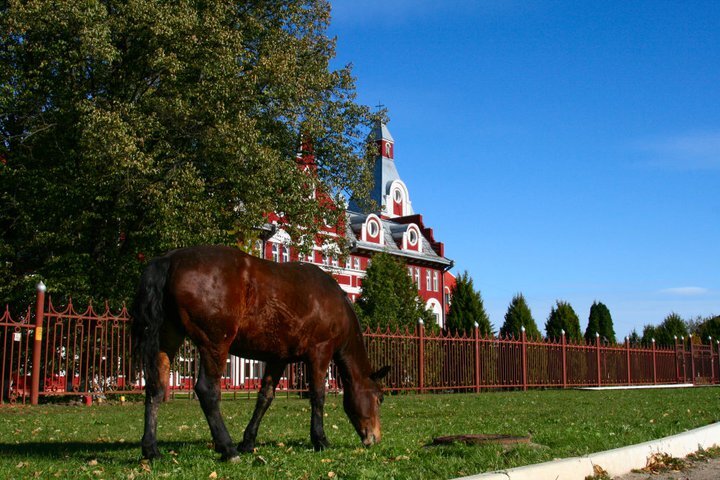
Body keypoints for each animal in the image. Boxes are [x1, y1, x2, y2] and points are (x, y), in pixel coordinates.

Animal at [129, 246, 388, 460]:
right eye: (380, 398)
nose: (375, 437)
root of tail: (170, 259)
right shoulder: (320, 353)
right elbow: (317, 396)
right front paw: (320, 439)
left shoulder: (278, 358)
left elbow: (265, 398)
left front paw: (248, 441)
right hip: (215, 344)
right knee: (206, 391)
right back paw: (227, 448)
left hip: (167, 339)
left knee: (155, 388)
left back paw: (151, 449)